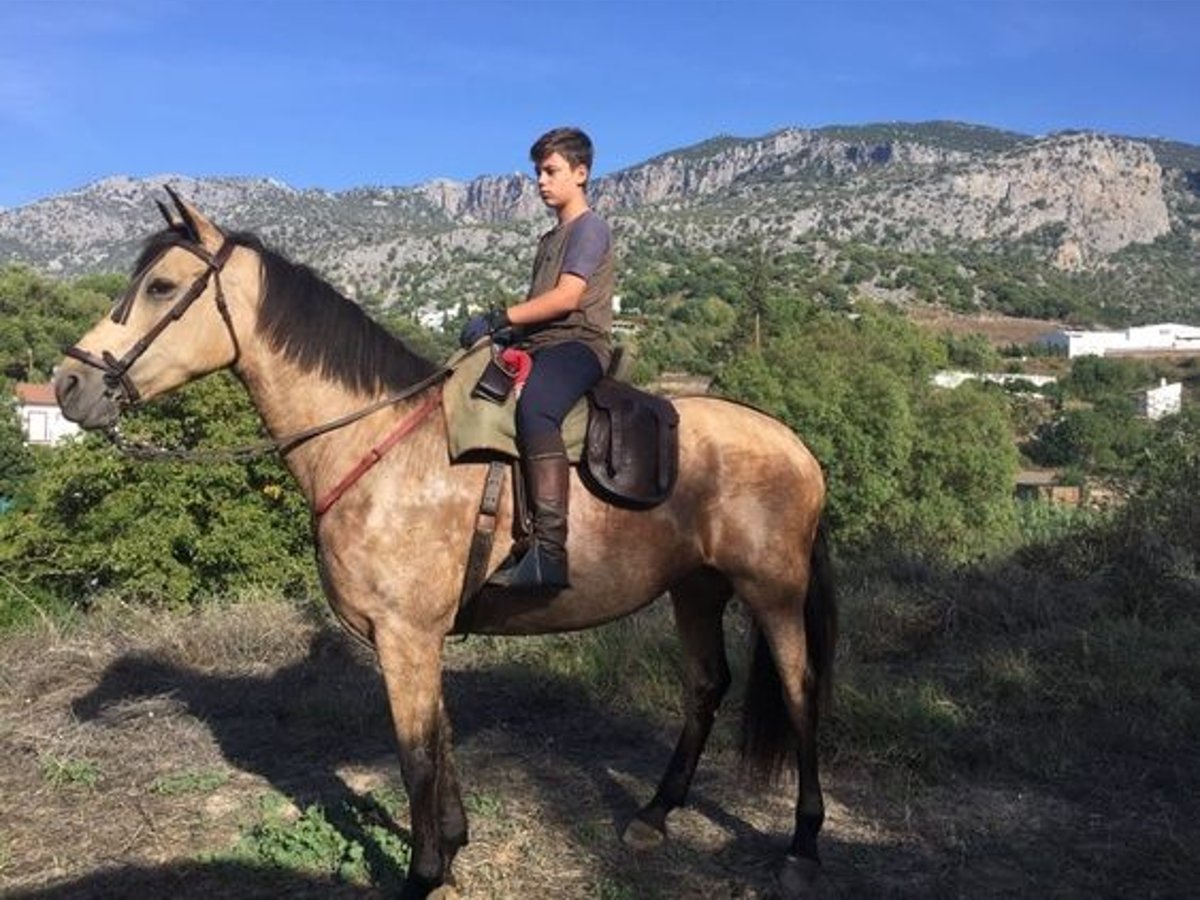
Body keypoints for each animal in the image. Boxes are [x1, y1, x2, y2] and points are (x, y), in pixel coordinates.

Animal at [56, 192, 840, 900]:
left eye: (161, 287)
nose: (68, 382)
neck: (376, 445)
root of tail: (794, 443)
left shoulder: (404, 635)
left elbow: (416, 758)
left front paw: (424, 874)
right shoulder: (420, 637)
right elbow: (441, 735)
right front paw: (455, 844)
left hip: (771, 591)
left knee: (801, 691)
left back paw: (803, 846)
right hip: (695, 587)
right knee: (706, 687)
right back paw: (654, 813)